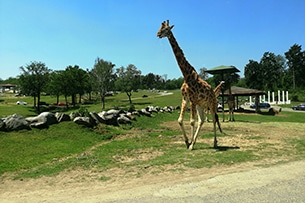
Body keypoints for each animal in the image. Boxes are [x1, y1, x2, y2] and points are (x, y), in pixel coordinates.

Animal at [157, 20, 221, 149]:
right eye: (160, 28)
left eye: (166, 29)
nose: (158, 34)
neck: (186, 75)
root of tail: (214, 93)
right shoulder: (185, 98)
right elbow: (180, 120)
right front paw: (188, 142)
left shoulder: (192, 99)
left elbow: (191, 121)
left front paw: (190, 144)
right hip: (201, 104)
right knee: (202, 120)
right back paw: (198, 141)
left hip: (212, 105)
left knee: (214, 119)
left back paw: (214, 142)